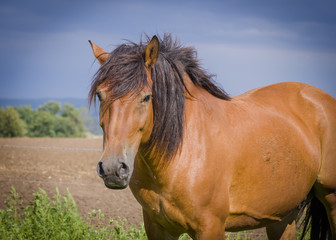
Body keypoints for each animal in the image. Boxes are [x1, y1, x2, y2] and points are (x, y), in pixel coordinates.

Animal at [89, 34, 336, 240]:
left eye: (146, 97)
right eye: (100, 95)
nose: (112, 168)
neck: (180, 154)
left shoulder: (210, 227)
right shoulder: (158, 228)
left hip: (330, 199)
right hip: (282, 215)